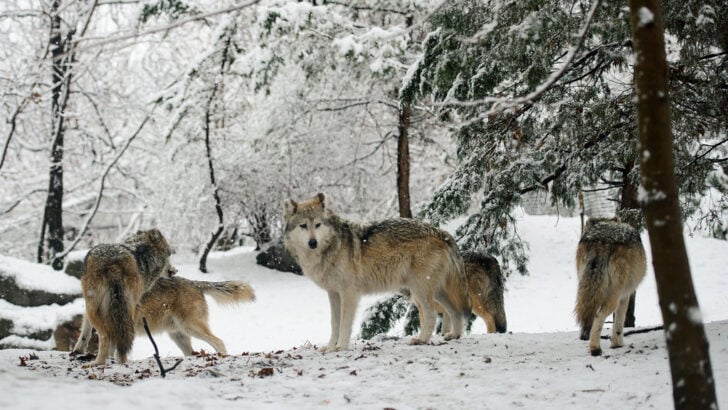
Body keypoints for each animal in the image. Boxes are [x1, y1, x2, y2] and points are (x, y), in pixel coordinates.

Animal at [73, 276, 255, 357]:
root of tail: (195, 283)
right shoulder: (90, 316)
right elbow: (85, 334)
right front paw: (77, 351)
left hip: (190, 328)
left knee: (219, 342)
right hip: (179, 335)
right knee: (192, 352)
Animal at [78, 229, 175, 366]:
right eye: (169, 254)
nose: (174, 271)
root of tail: (114, 263)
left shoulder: (89, 305)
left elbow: (85, 329)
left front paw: (77, 350)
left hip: (95, 306)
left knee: (109, 335)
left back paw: (105, 361)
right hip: (126, 308)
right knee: (111, 336)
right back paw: (112, 362)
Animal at [283, 193, 470, 352]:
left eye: (317, 225)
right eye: (303, 226)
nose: (312, 242)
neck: (331, 247)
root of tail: (441, 232)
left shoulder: (349, 293)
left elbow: (344, 324)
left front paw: (341, 347)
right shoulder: (333, 293)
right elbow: (334, 323)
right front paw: (329, 348)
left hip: (420, 290)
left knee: (431, 314)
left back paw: (421, 339)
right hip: (433, 291)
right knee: (455, 310)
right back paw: (454, 335)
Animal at [575, 218, 647, 356]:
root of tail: (601, 240)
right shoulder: (625, 296)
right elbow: (619, 322)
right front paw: (617, 344)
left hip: (584, 287)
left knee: (587, 314)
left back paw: (585, 337)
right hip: (614, 295)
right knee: (598, 316)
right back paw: (595, 349)